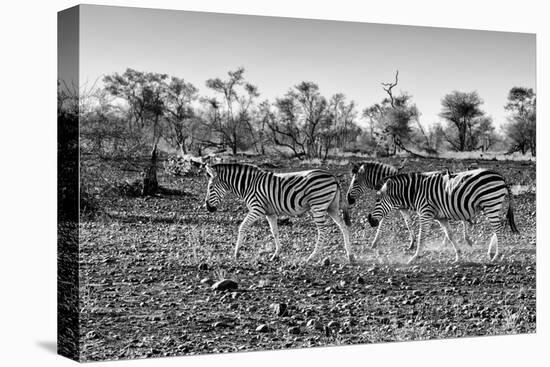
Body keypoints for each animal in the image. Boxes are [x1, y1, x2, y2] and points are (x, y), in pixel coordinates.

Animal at [203, 162, 354, 264]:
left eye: (210, 187)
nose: (208, 208)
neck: (249, 185)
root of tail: (333, 176)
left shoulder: (257, 209)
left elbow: (242, 227)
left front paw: (236, 253)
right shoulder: (269, 213)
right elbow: (274, 232)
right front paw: (276, 254)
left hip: (318, 205)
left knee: (323, 231)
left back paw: (312, 256)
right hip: (331, 207)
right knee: (343, 226)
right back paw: (350, 255)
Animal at [368, 170, 520, 264]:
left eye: (377, 199)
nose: (370, 221)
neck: (415, 192)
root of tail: (501, 177)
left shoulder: (426, 213)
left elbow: (422, 236)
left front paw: (415, 257)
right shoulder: (440, 217)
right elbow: (450, 235)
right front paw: (458, 256)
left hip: (491, 203)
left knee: (498, 229)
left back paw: (496, 256)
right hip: (492, 206)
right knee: (499, 226)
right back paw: (491, 252)